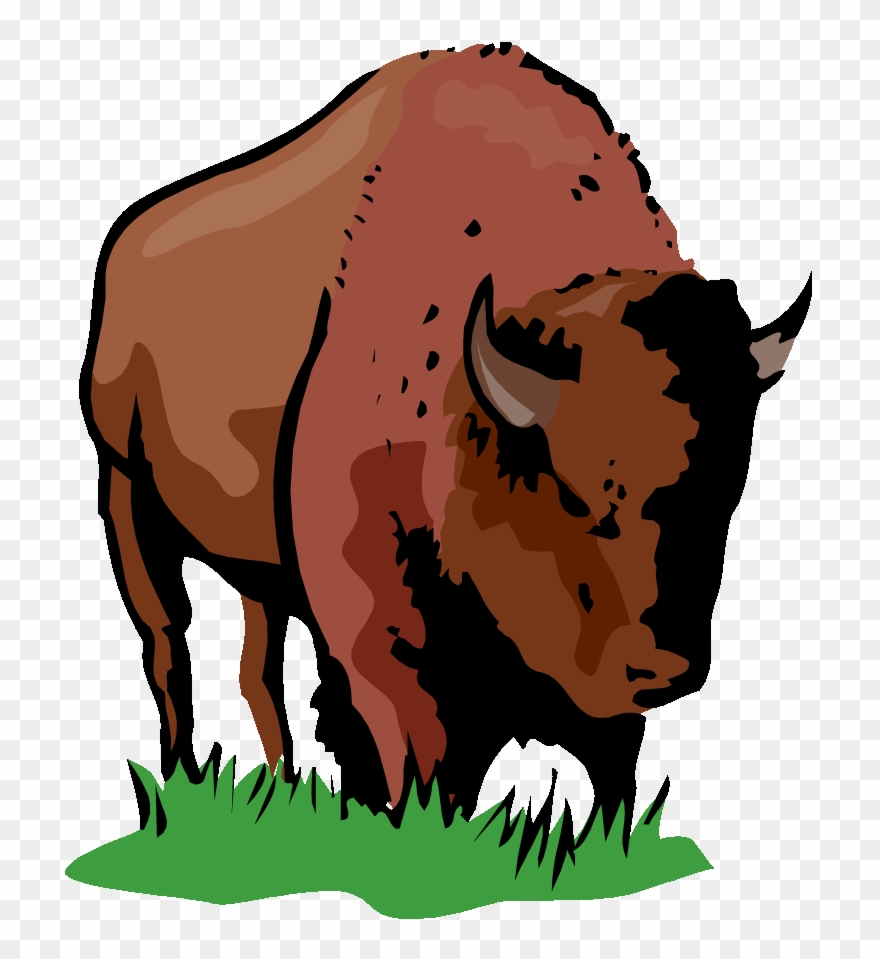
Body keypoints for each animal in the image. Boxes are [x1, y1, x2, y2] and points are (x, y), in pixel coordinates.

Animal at [81, 43, 810, 846]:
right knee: (168, 644)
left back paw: (281, 780)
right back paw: (177, 783)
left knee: (257, 665)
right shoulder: (382, 632)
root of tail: (125, 244)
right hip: (125, 494)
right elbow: (419, 753)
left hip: (254, 570)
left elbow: (612, 765)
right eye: (572, 492)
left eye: (725, 489)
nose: (666, 666)